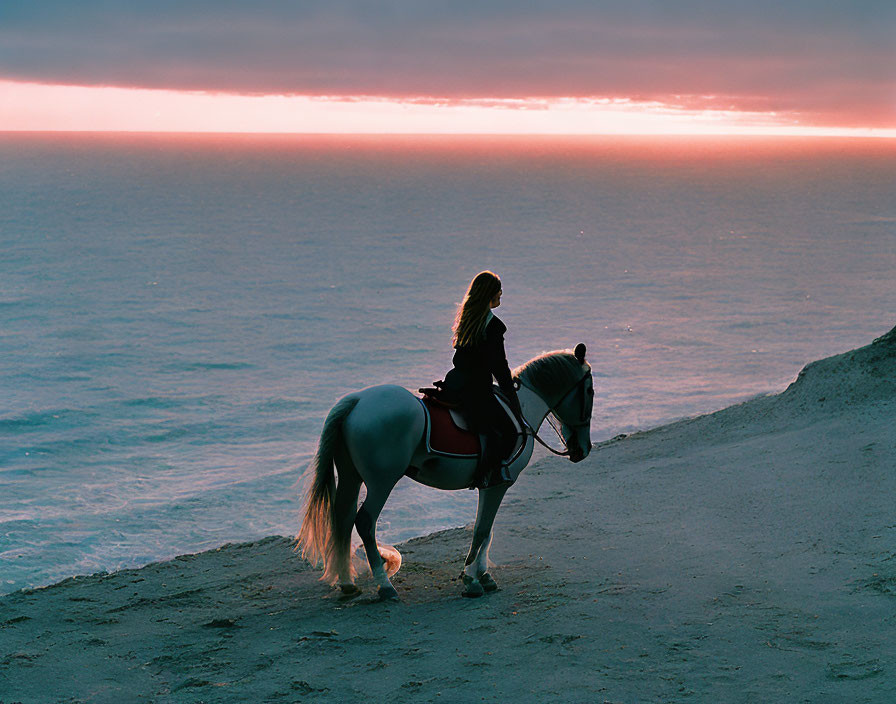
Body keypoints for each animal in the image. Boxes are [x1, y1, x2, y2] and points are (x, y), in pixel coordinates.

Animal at [298, 340, 596, 600]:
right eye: (590, 392)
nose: (582, 449)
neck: (519, 407)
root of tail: (357, 401)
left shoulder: (490, 483)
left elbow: (486, 530)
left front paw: (482, 575)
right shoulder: (499, 483)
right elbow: (482, 529)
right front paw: (472, 580)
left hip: (351, 476)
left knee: (343, 518)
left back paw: (347, 583)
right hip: (382, 482)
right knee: (365, 521)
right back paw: (385, 586)